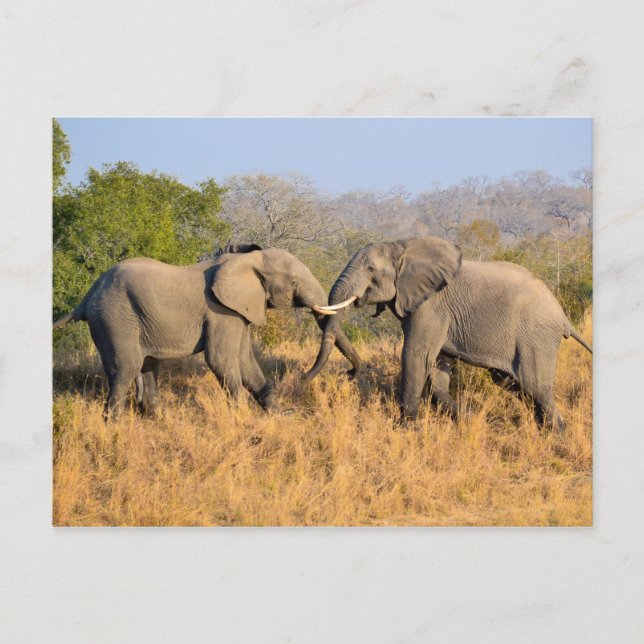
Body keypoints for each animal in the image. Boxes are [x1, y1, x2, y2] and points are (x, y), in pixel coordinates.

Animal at [53, 246, 358, 419]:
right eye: (294, 283)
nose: (350, 373)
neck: (248, 260)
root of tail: (86, 297)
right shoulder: (221, 311)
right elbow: (221, 359)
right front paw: (242, 417)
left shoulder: (238, 312)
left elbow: (245, 360)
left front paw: (281, 415)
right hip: (114, 318)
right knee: (125, 369)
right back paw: (114, 426)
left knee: (148, 367)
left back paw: (160, 420)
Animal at [306, 236, 592, 430]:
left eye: (371, 270)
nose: (348, 373)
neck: (402, 248)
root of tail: (563, 318)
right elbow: (438, 365)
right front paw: (465, 419)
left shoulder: (430, 306)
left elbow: (416, 355)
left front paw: (405, 428)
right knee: (510, 381)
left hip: (536, 336)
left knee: (535, 385)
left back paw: (557, 434)